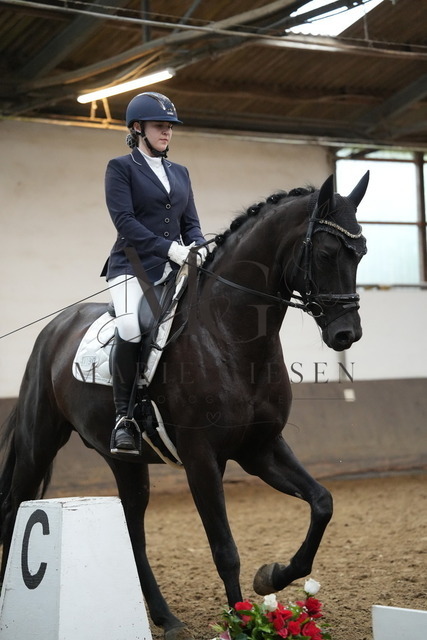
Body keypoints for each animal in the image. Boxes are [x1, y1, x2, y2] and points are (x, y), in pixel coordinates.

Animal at [0, 172, 368, 640]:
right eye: (324, 252)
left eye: (361, 251)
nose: (346, 334)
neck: (230, 335)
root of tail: (56, 326)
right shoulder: (202, 458)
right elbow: (225, 548)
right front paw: (241, 622)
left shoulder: (260, 449)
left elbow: (322, 502)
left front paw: (271, 577)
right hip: (38, 442)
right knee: (14, 506)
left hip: (125, 461)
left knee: (133, 530)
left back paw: (165, 617)